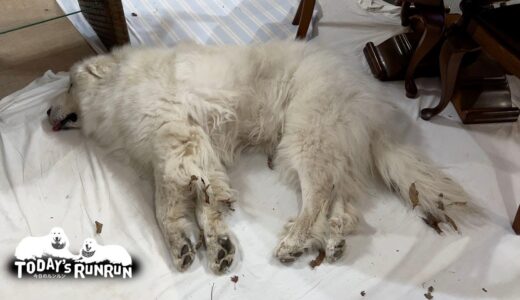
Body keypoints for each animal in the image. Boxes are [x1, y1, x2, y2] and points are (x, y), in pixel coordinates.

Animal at [48, 41, 476, 274]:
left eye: (69, 84)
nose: (47, 113)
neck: (117, 85)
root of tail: (368, 96)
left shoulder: (176, 143)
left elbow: (162, 206)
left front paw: (181, 244)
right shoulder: (196, 152)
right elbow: (205, 202)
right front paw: (216, 244)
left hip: (305, 139)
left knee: (320, 194)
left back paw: (295, 240)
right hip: (327, 147)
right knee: (343, 205)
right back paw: (330, 240)